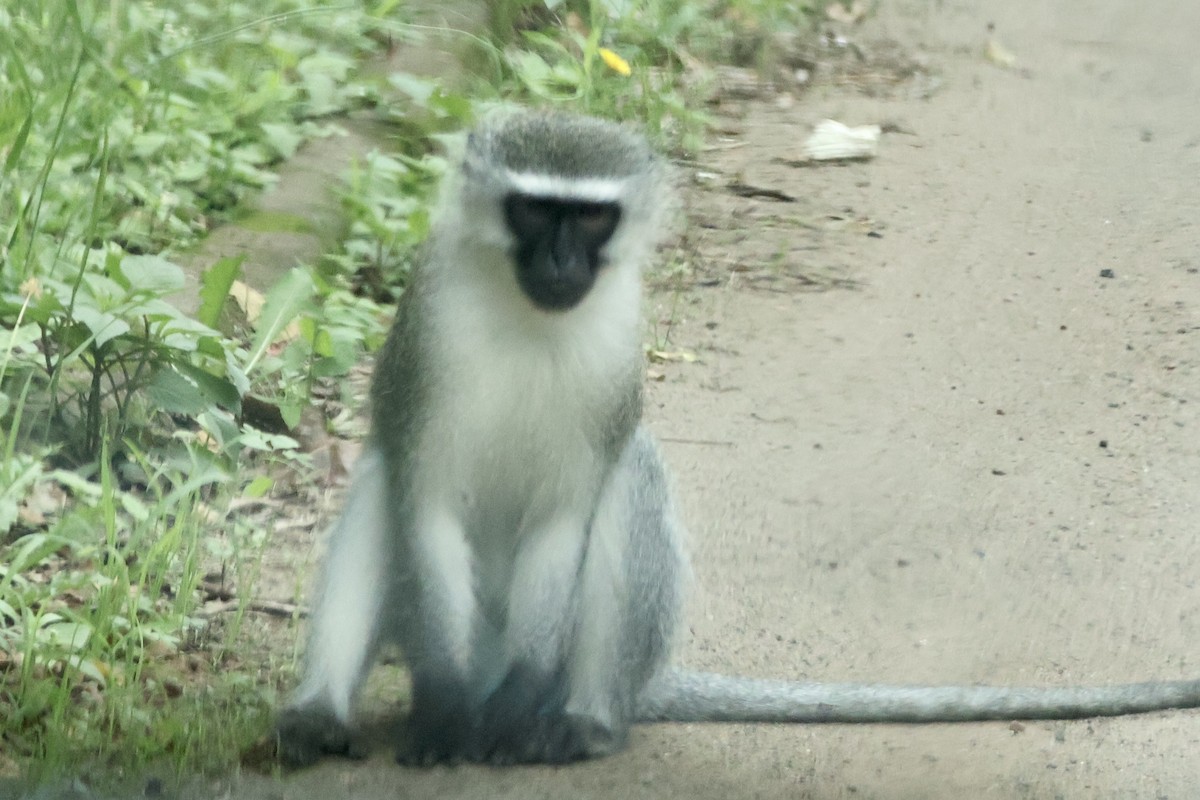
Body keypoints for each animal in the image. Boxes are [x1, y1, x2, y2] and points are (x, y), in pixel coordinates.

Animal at [275, 109, 1200, 768]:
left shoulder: (619, 350)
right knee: (382, 480)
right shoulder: (424, 341)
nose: (563, 265)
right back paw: (319, 720)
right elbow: (424, 497)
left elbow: (570, 513)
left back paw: (576, 723)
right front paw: (440, 711)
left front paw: (507, 714)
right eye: (536, 209)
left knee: (631, 476)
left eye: (593, 219)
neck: (525, 314)